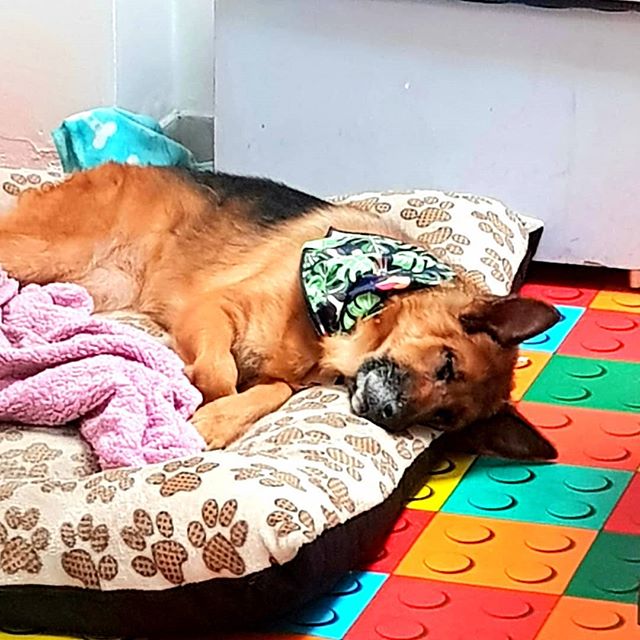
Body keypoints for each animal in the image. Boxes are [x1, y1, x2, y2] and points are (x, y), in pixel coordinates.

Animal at [0, 162, 560, 458]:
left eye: (444, 419)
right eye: (446, 365)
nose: (389, 417)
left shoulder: (283, 378)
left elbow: (269, 391)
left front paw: (217, 421)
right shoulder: (213, 307)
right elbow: (220, 372)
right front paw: (198, 395)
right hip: (44, 252)